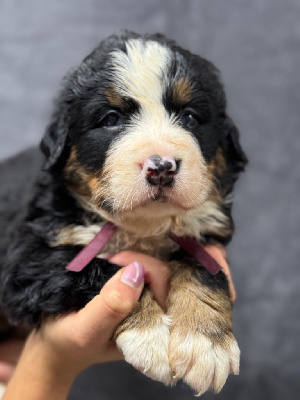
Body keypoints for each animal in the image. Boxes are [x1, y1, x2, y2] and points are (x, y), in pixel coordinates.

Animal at [0, 31, 246, 394]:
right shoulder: (29, 259)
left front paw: (206, 342)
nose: (161, 167)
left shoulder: (205, 232)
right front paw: (150, 337)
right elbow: (105, 270)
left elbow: (203, 268)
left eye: (189, 117)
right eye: (111, 120)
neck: (142, 226)